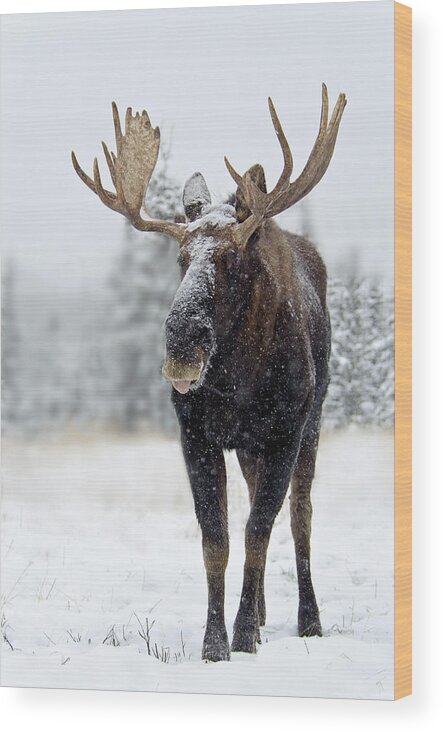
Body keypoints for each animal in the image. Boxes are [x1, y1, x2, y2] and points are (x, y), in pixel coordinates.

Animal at [72, 83, 346, 660]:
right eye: (180, 259)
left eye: (231, 259)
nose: (181, 347)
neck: (241, 384)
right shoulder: (196, 434)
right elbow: (217, 539)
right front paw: (216, 641)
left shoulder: (285, 430)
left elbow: (260, 530)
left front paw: (242, 637)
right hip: (246, 446)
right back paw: (262, 615)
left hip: (310, 426)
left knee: (301, 515)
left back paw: (308, 619)